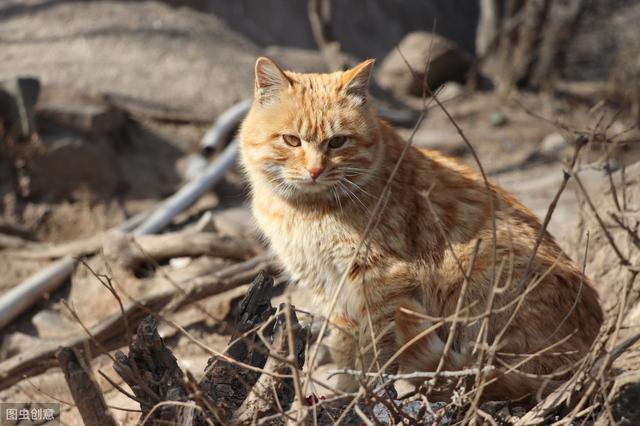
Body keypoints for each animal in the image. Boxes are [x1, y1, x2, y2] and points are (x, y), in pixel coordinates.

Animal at [238, 57, 604, 402]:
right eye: (291, 140)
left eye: (337, 142)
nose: (315, 171)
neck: (306, 211)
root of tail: (588, 354)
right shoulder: (331, 291)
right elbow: (345, 346)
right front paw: (346, 392)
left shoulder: (381, 280)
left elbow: (373, 351)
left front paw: (361, 398)